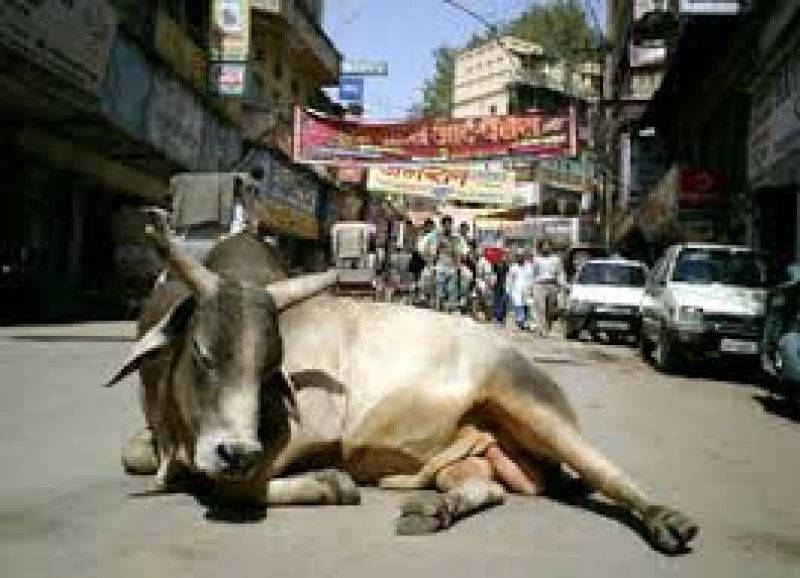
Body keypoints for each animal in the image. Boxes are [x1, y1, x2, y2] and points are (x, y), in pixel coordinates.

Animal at [106, 210, 698, 554]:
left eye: (272, 370)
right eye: (202, 354)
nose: (235, 451)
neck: (176, 427)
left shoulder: (302, 435)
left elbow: (237, 489)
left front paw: (333, 483)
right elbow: (135, 456)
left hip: (531, 404)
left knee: (609, 473)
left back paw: (666, 519)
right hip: (467, 453)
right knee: (482, 486)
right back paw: (433, 510)